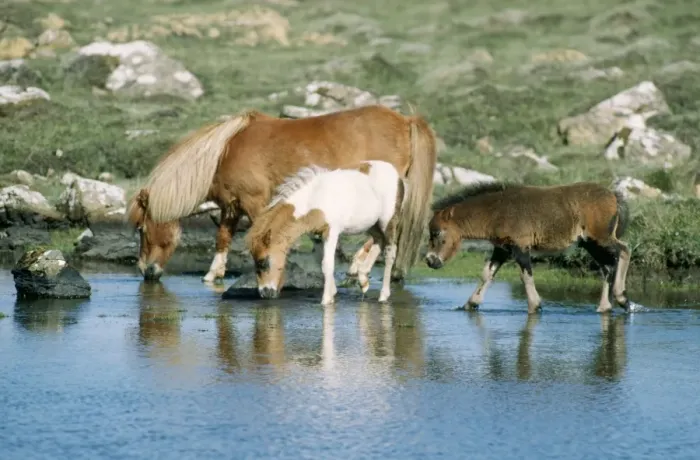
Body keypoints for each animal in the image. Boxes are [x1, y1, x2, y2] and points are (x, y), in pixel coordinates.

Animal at [127, 105, 437, 284]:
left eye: (141, 228)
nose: (146, 272)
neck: (224, 152)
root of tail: (405, 121)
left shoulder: (255, 202)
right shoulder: (232, 205)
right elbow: (223, 237)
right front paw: (213, 273)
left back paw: (359, 268)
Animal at [245, 160, 406, 306]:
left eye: (262, 262)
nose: (265, 293)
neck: (314, 200)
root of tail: (397, 175)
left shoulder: (332, 231)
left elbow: (327, 263)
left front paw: (326, 300)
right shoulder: (317, 235)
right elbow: (321, 263)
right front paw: (333, 293)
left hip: (388, 221)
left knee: (390, 252)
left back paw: (383, 295)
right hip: (372, 224)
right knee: (379, 240)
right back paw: (363, 279)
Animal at [424, 181, 632, 314]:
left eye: (437, 232)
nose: (430, 260)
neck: (497, 212)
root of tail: (614, 196)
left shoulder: (520, 247)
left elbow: (526, 275)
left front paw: (535, 306)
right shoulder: (502, 249)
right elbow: (487, 274)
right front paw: (470, 304)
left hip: (600, 239)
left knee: (621, 253)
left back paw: (616, 301)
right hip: (590, 243)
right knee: (612, 262)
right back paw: (612, 304)